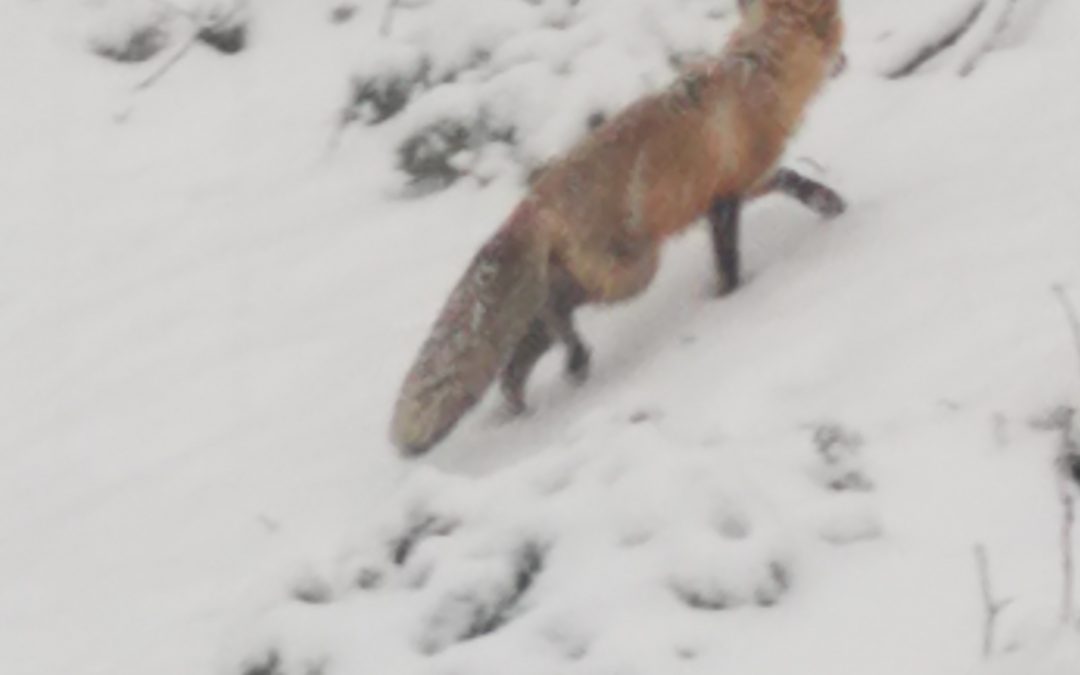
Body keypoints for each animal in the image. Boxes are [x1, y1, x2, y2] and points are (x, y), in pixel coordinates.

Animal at [391, 0, 846, 456]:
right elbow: (729, 260)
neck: (757, 71)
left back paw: (532, 396)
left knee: (522, 353)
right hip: (632, 272)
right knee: (552, 316)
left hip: (590, 280)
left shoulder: (748, 182)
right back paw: (574, 361)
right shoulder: (723, 200)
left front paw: (829, 203)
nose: (845, 61)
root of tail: (532, 201)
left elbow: (793, 181)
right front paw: (731, 298)